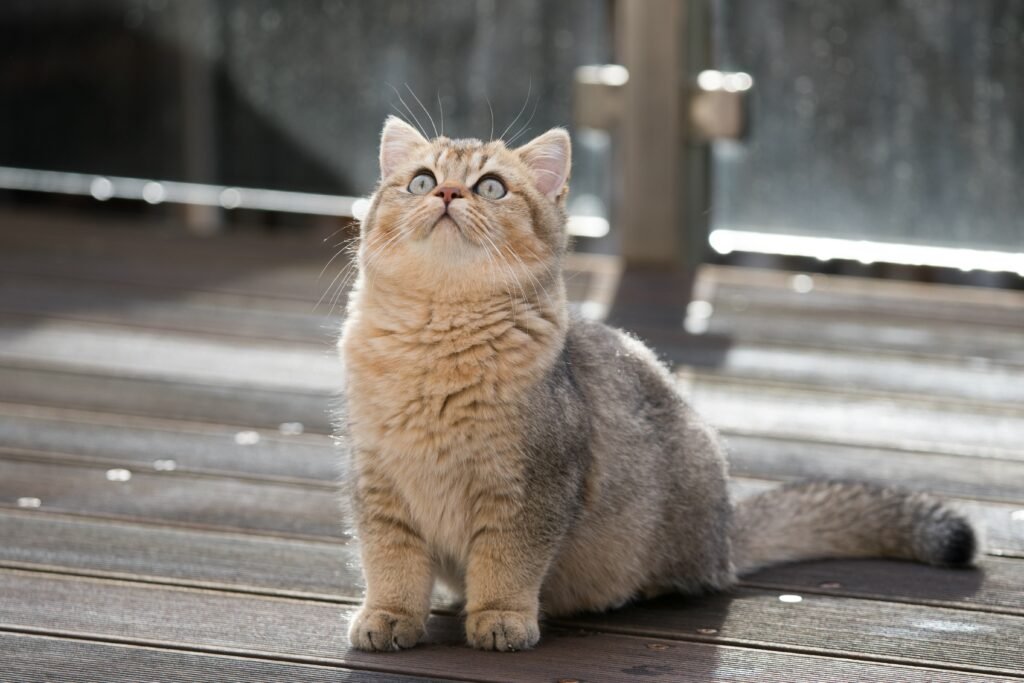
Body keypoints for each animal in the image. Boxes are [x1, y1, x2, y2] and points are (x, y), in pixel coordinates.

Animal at [337, 116, 974, 651]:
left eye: (491, 187)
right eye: (421, 181)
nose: (447, 194)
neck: (437, 338)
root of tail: (726, 533)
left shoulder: (533, 489)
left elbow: (507, 563)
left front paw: (501, 617)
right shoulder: (378, 484)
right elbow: (390, 561)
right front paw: (389, 616)